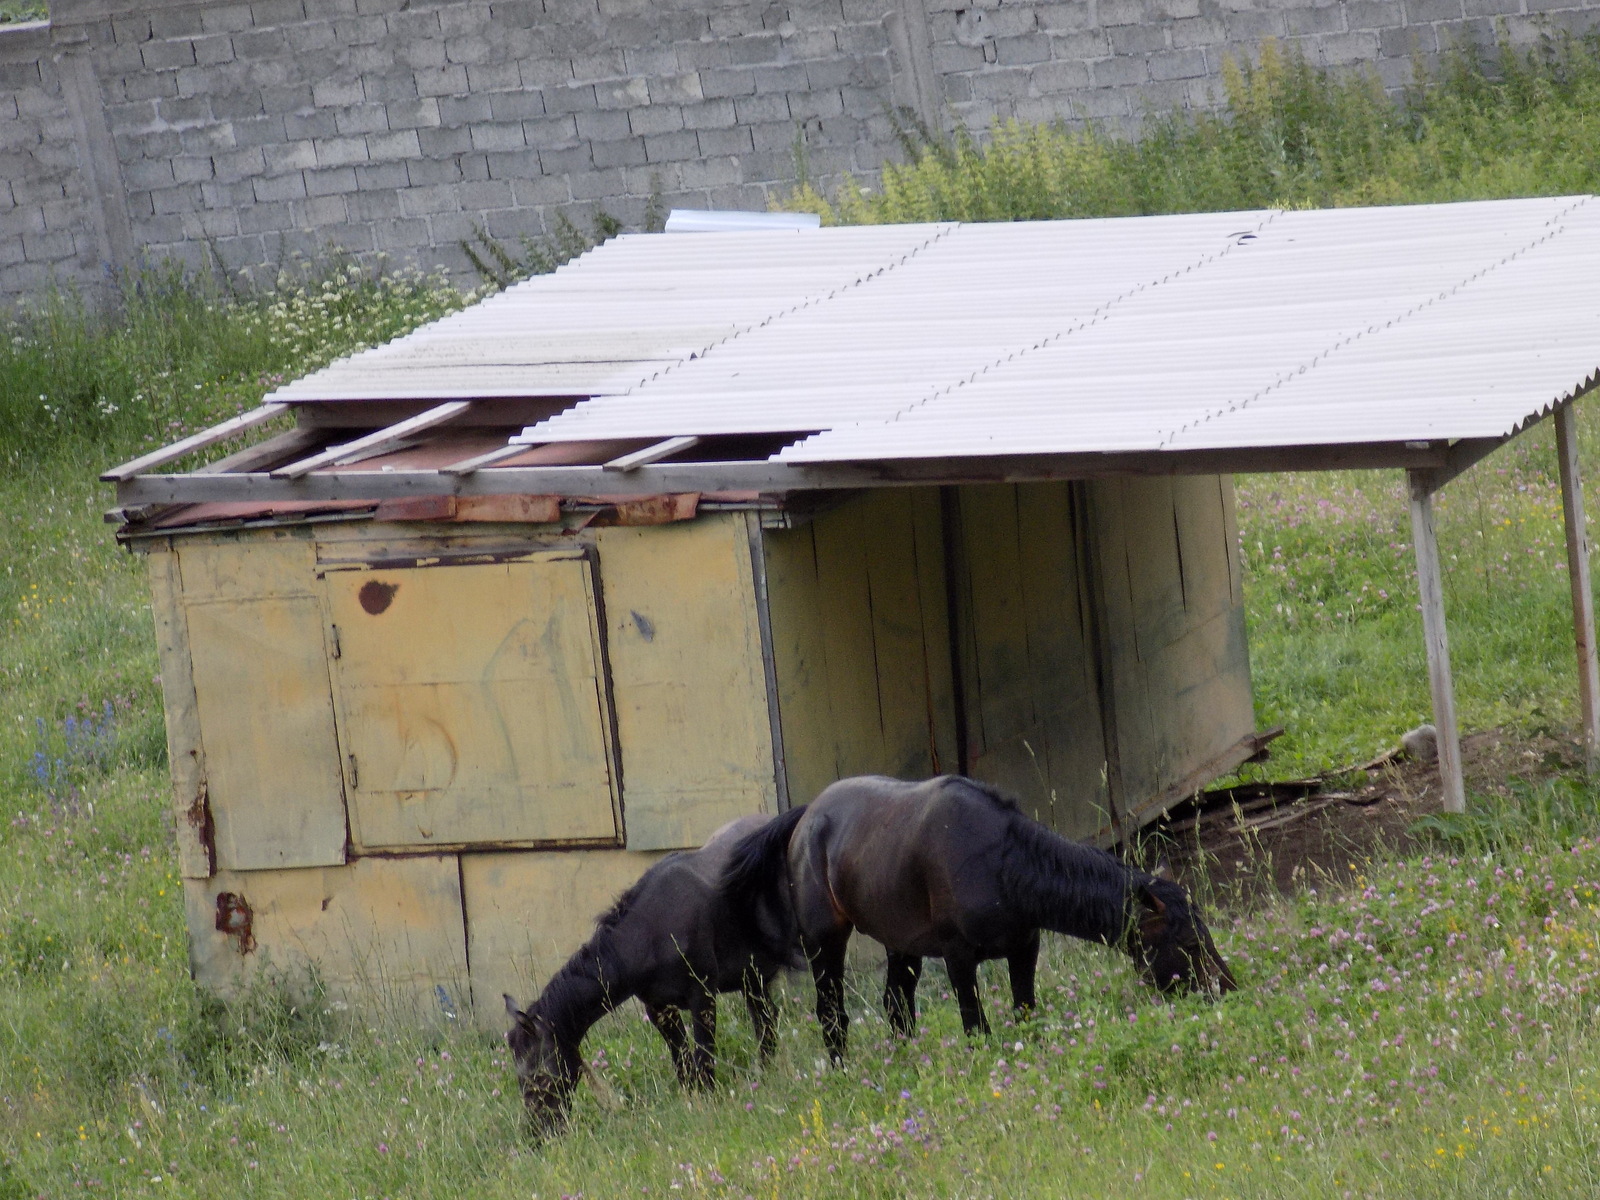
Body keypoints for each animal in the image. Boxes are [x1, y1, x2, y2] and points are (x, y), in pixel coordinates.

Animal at [505, 809, 806, 1139]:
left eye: (538, 1074)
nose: (539, 1133)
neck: (651, 933)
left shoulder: (702, 995)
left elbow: (703, 1056)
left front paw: (708, 1101)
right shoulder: (659, 1007)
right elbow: (682, 1062)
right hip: (753, 976)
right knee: (765, 1020)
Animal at [726, 780, 1235, 1062]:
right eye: (1190, 944)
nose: (1228, 989)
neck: (1002, 865)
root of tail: (805, 818)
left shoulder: (1024, 947)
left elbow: (1024, 1012)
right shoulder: (958, 958)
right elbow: (976, 1027)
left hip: (900, 941)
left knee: (896, 1006)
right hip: (825, 940)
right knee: (832, 1013)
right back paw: (841, 1070)